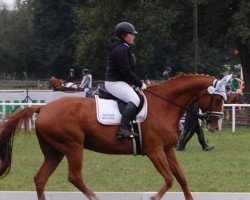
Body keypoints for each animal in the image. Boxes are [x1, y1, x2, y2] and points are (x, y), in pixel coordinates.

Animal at [0, 74, 230, 200]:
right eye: (218, 99)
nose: (216, 125)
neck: (164, 105)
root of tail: (43, 108)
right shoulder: (155, 151)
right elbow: (169, 179)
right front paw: (153, 196)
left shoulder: (167, 149)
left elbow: (181, 178)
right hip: (72, 146)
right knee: (74, 177)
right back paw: (95, 198)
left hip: (54, 152)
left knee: (40, 179)